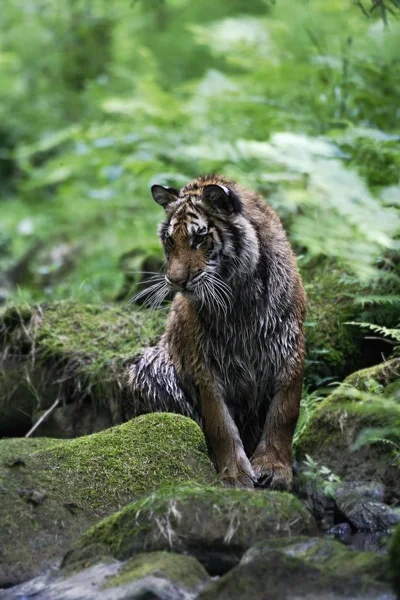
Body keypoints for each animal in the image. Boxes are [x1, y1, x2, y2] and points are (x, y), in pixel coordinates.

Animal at [128, 171, 306, 490]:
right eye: (170, 240)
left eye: (199, 238)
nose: (175, 281)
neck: (240, 297)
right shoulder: (205, 365)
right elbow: (220, 424)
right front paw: (235, 475)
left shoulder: (288, 348)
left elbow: (283, 414)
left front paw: (275, 469)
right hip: (147, 366)